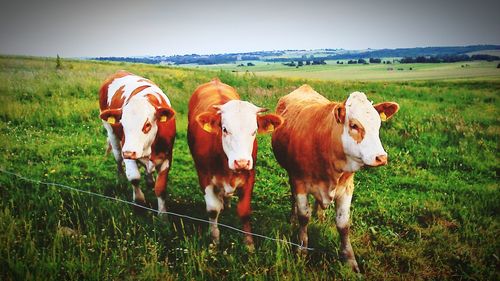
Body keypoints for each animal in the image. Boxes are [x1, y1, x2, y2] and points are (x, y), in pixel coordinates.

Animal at [98, 71, 176, 211]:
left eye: (147, 125)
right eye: (122, 124)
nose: (129, 153)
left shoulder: (167, 157)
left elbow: (160, 188)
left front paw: (163, 214)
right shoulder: (126, 148)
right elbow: (134, 177)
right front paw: (139, 202)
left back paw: (150, 180)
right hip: (111, 133)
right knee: (118, 159)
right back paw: (121, 179)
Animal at [188, 77, 284, 249]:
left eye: (254, 131)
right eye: (225, 129)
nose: (241, 162)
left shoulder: (250, 176)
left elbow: (244, 212)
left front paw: (249, 244)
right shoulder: (204, 176)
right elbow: (212, 210)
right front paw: (214, 240)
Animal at [270, 84, 398, 270]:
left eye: (378, 124)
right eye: (354, 125)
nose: (381, 157)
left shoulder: (347, 188)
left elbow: (343, 225)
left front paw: (350, 260)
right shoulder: (299, 182)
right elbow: (304, 217)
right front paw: (301, 250)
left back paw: (321, 217)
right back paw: (293, 218)